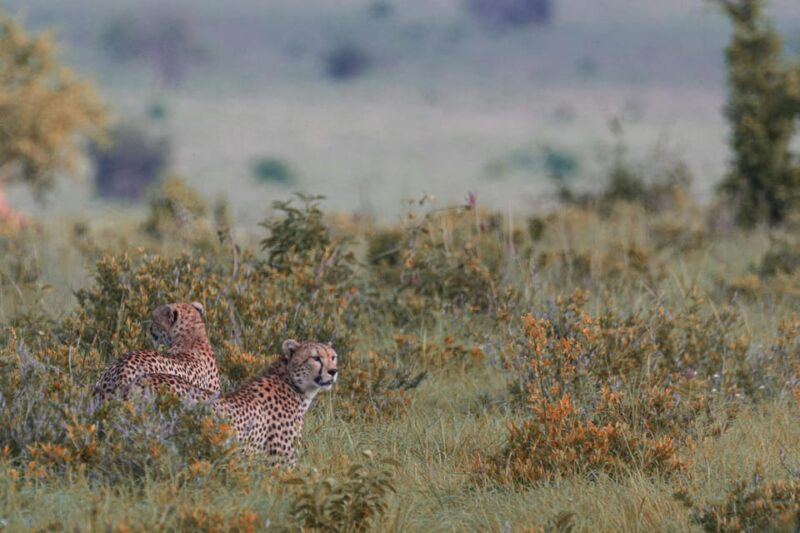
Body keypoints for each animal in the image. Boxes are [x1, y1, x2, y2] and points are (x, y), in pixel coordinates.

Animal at [131, 339, 338, 466]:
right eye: (315, 358)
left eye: (333, 357)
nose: (333, 371)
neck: (292, 383)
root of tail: (142, 381)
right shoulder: (279, 464)